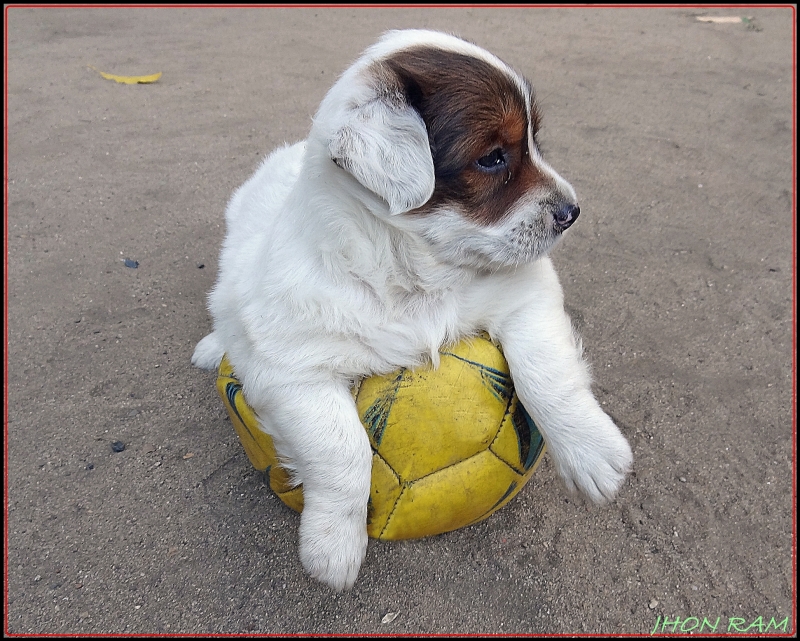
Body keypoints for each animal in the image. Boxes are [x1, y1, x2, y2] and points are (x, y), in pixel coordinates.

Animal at [194, 30, 632, 592]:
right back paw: (214, 346)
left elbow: (547, 376)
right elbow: (342, 448)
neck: (411, 274)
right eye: (493, 158)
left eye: (533, 142)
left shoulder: (526, 294)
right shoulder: (291, 370)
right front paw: (333, 545)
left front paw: (592, 454)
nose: (572, 212)